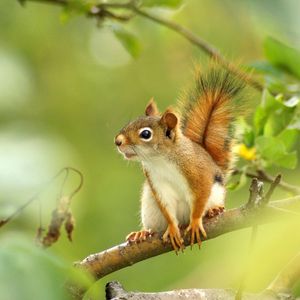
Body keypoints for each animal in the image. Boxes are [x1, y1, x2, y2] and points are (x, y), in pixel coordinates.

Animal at [114, 67, 244, 252]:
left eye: (145, 134)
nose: (117, 141)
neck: (160, 160)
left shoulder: (198, 173)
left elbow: (200, 197)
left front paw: (195, 222)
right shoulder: (157, 183)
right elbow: (167, 209)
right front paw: (173, 229)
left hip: (216, 193)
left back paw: (213, 211)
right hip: (150, 207)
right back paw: (143, 233)